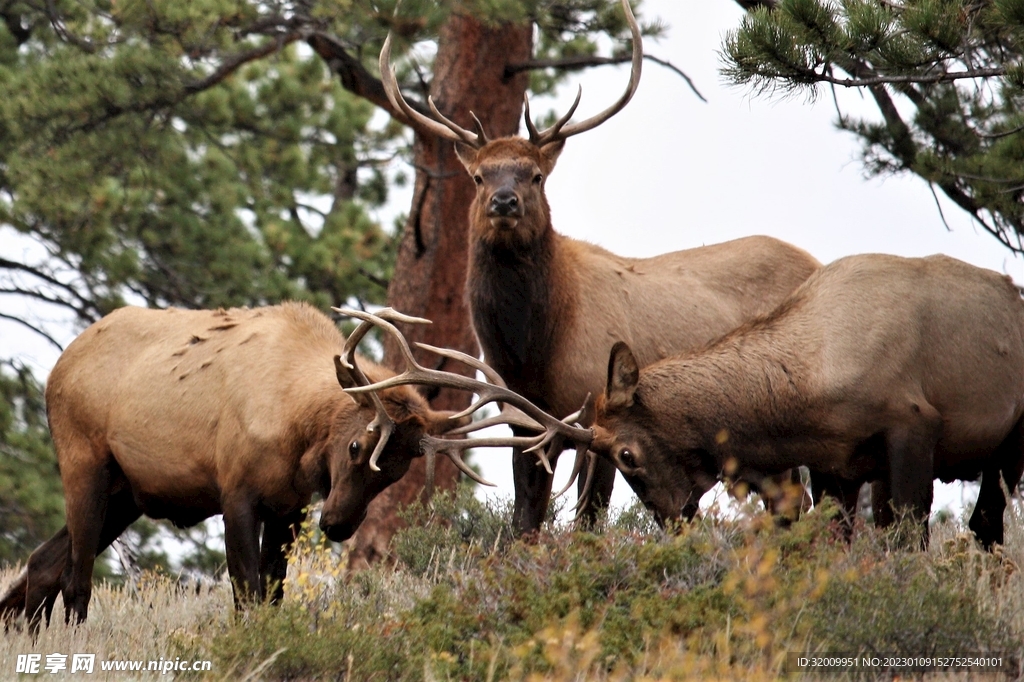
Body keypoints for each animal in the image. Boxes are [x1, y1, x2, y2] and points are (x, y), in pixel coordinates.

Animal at [0, 302, 481, 628]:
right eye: (356, 446)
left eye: (398, 472)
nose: (338, 525)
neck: (296, 428)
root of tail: (58, 367)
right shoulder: (236, 493)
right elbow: (246, 592)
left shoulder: (290, 506)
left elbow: (272, 593)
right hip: (84, 461)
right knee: (75, 578)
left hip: (127, 494)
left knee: (42, 562)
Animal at [378, 0, 822, 534]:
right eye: (480, 176)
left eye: (535, 175)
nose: (504, 202)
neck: (532, 351)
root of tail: (817, 260)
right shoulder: (522, 420)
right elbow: (525, 521)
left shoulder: (596, 411)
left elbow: (588, 518)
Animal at [580, 253, 1024, 549]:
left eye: (626, 454)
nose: (672, 521)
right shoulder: (835, 466)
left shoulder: (914, 426)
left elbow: (909, 536)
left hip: (1010, 442)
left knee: (986, 520)